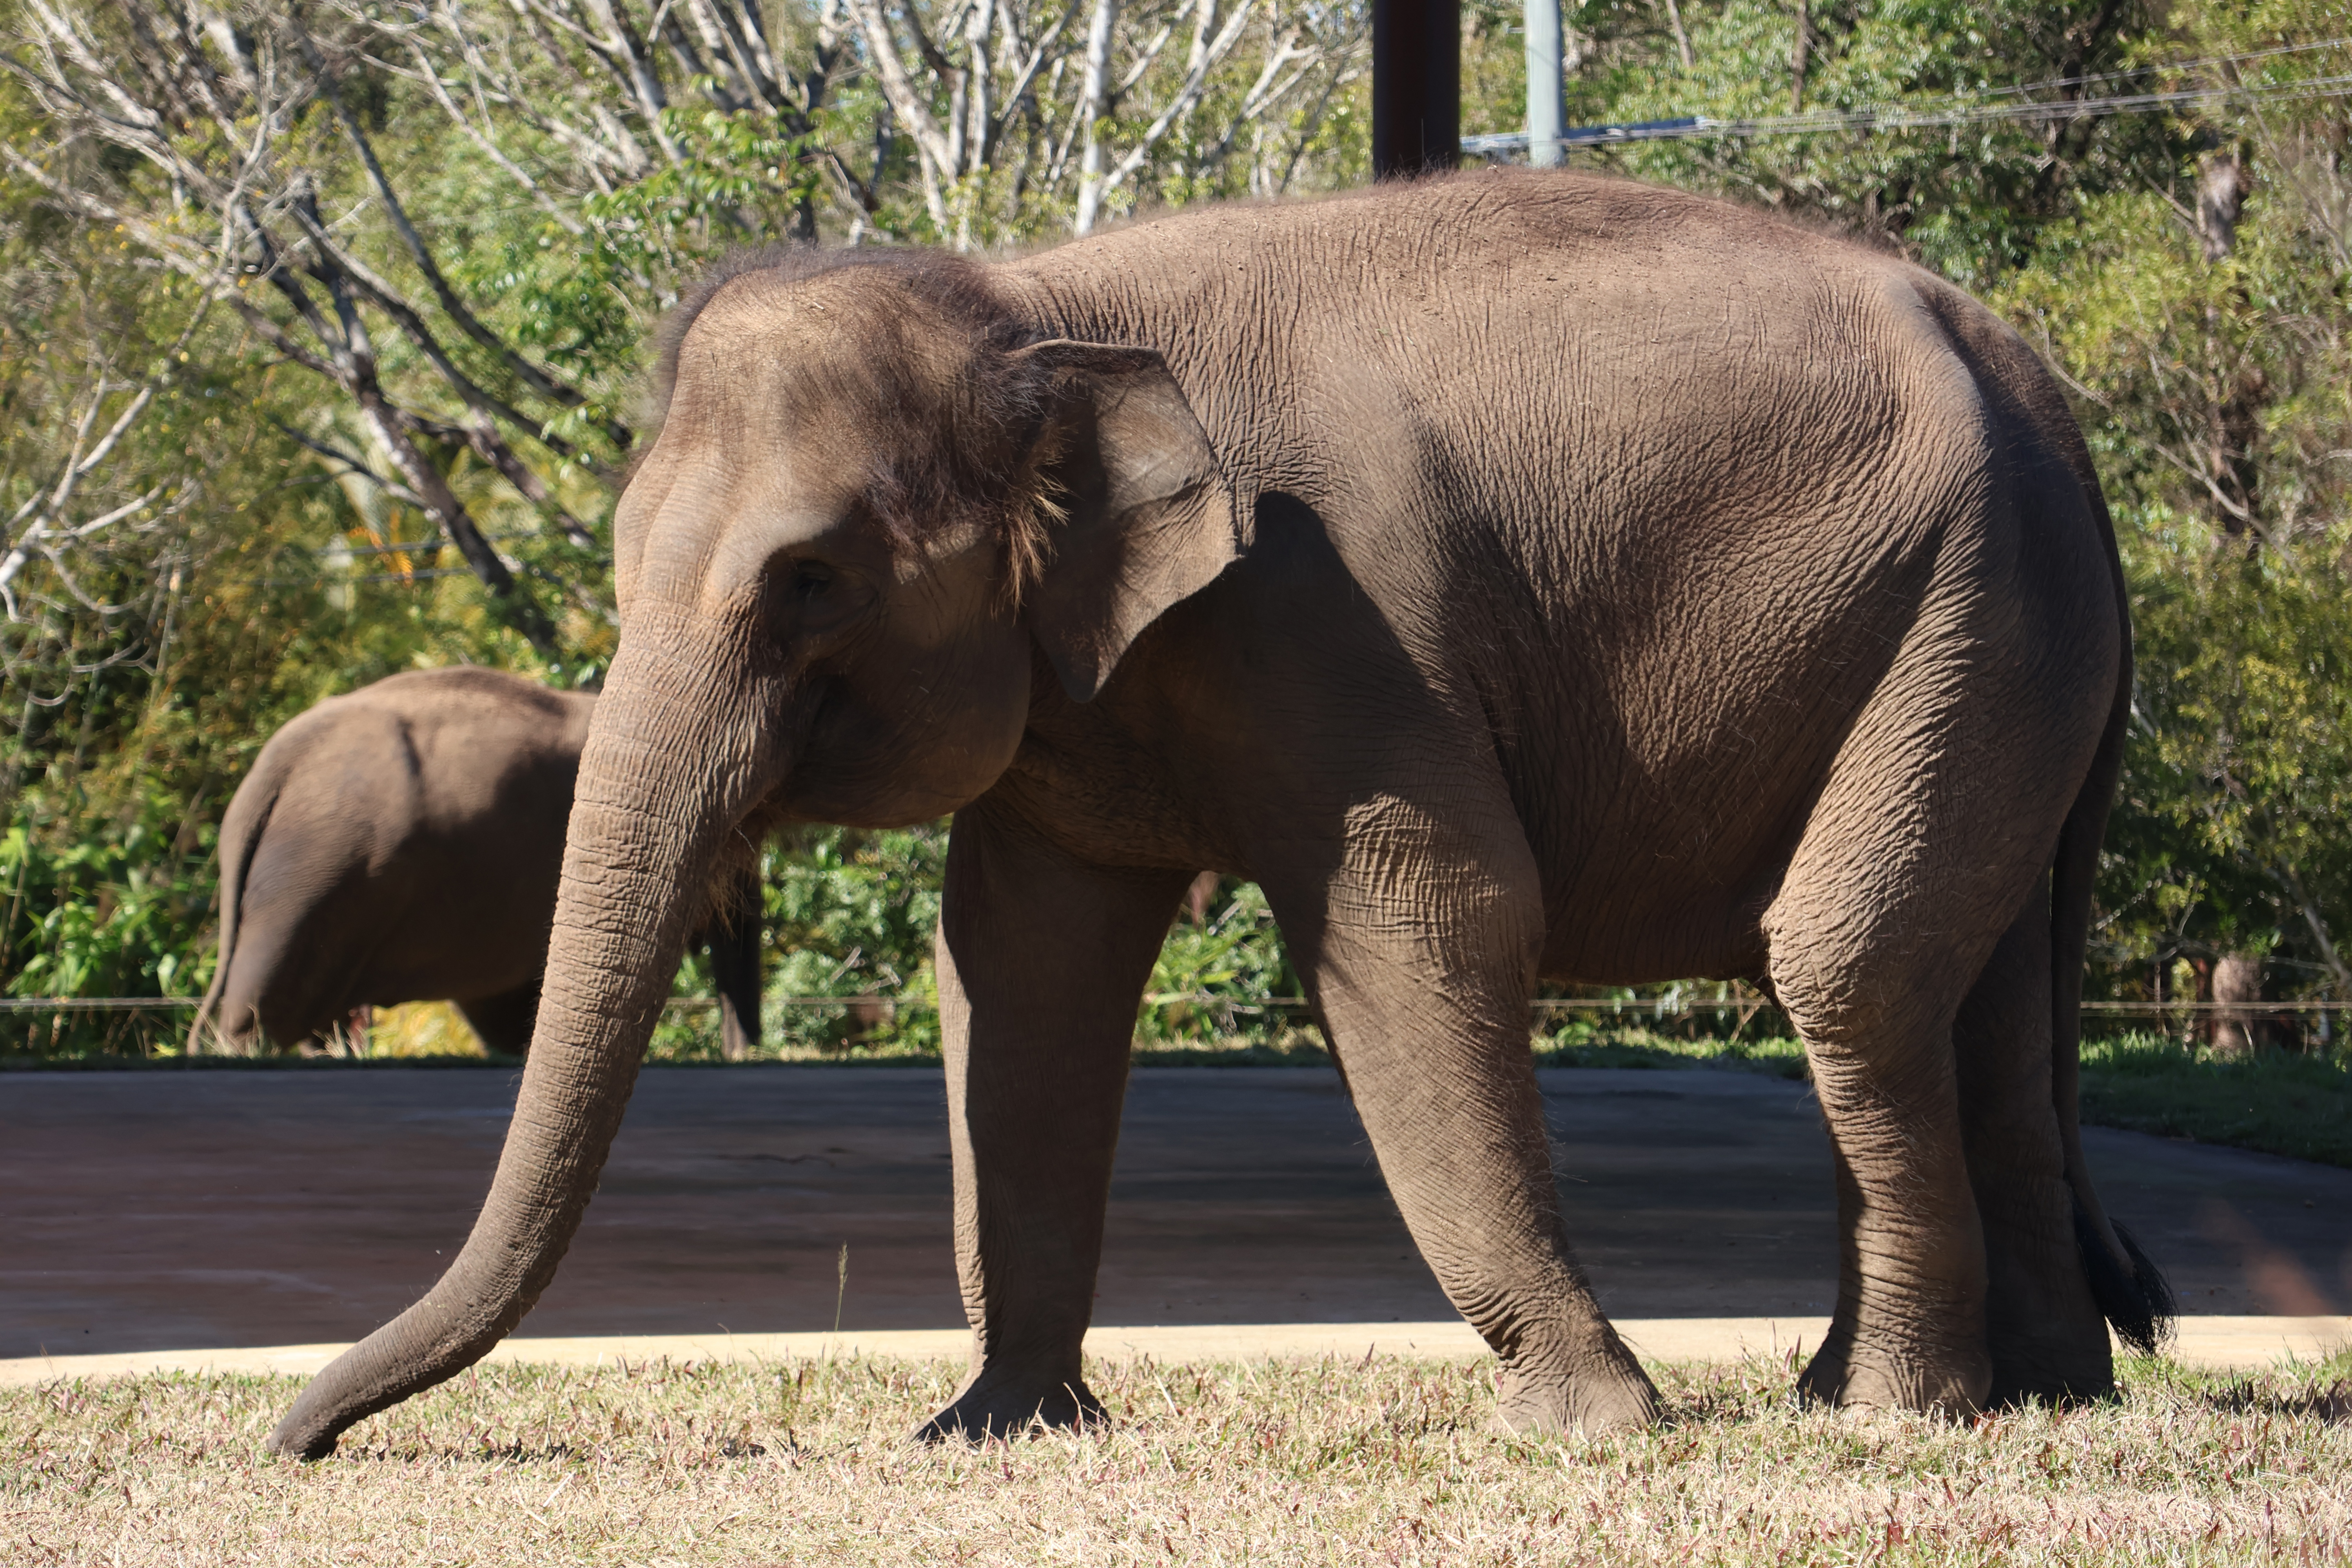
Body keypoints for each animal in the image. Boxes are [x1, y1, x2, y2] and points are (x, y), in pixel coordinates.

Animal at [269, 168, 2172, 1460]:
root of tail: (2039, 382)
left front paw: (1599, 1423)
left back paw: (1889, 1411)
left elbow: (1429, 908)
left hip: (1971, 604)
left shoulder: (1333, 606)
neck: (1025, 303)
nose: (293, 1436)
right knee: (1975, 988)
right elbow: (1019, 968)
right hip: (1988, 630)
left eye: (808, 583)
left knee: (1845, 962)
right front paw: (991, 1425)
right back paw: (2020, 1392)